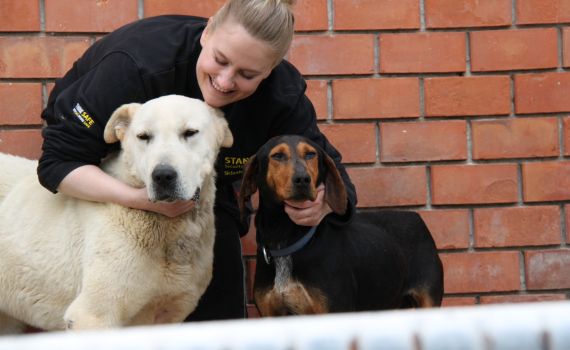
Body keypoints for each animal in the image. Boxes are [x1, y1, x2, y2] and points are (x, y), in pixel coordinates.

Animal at [237, 135, 442, 316]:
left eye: (311, 154)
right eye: (277, 156)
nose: (303, 179)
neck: (284, 234)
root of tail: (415, 216)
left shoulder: (336, 310)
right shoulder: (271, 314)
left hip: (428, 301)